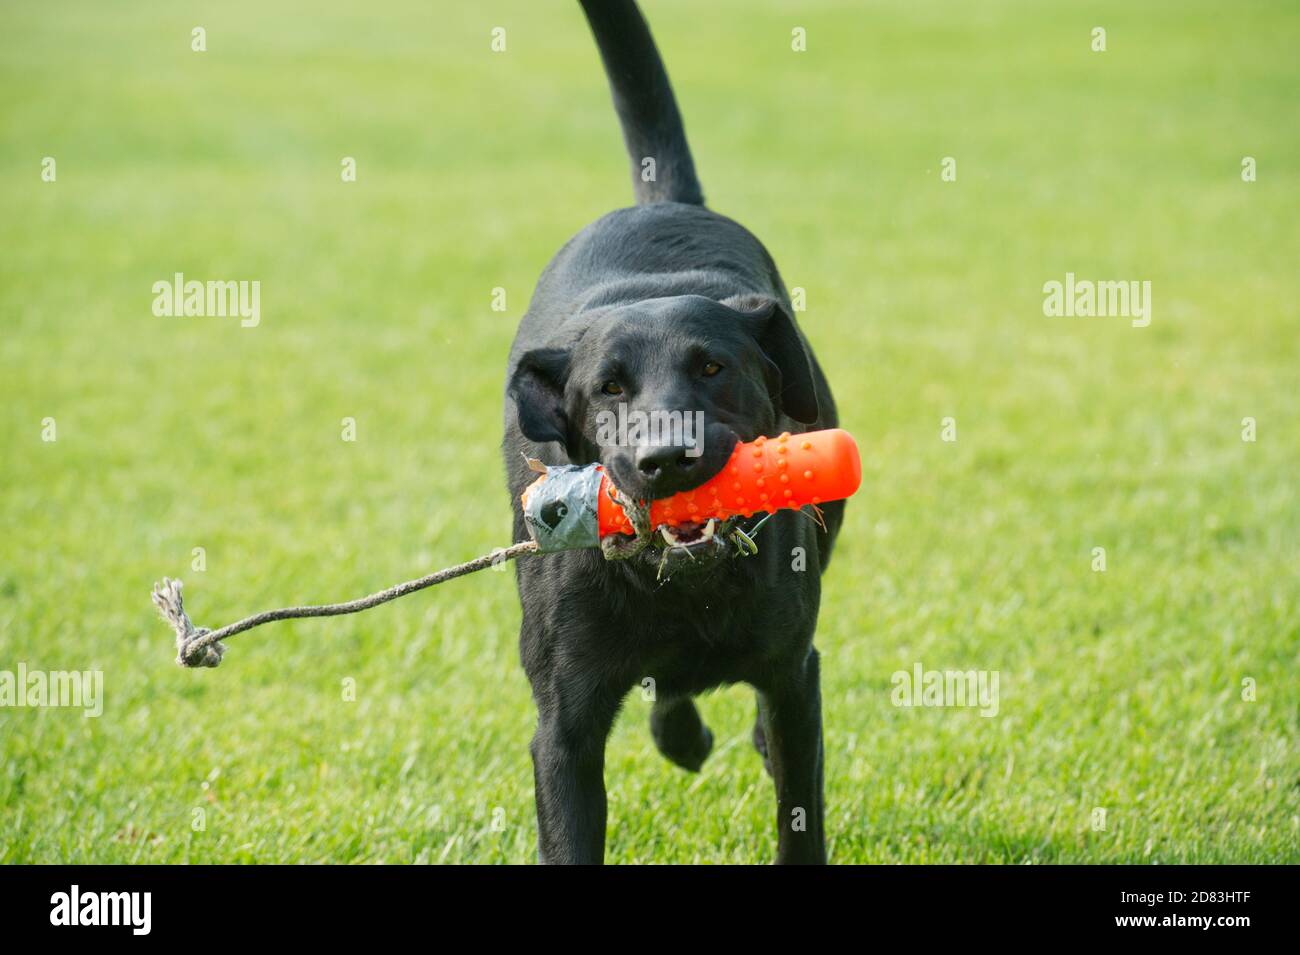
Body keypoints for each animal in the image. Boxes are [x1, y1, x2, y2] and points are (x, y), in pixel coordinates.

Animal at [496, 0, 842, 867]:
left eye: (713, 367)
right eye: (608, 388)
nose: (667, 457)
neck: (680, 585)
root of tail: (663, 202)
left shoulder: (793, 676)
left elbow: (800, 809)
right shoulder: (564, 725)